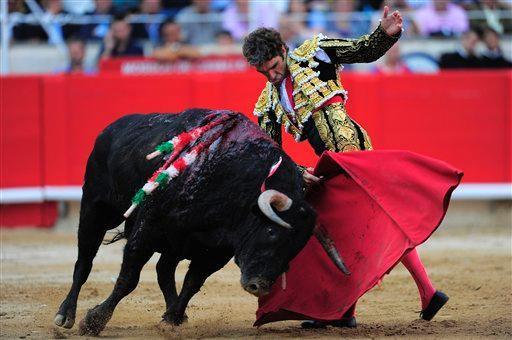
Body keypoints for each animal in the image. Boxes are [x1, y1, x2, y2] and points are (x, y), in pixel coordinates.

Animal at [54, 109, 346, 334]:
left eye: (296, 248)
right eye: (273, 233)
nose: (259, 286)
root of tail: (110, 129)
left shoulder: (216, 251)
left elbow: (192, 283)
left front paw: (171, 319)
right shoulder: (148, 228)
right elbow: (128, 279)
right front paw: (94, 321)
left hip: (174, 242)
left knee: (164, 269)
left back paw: (175, 313)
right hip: (95, 209)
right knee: (84, 262)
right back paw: (66, 314)